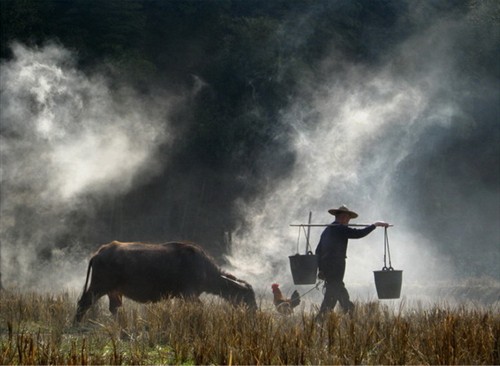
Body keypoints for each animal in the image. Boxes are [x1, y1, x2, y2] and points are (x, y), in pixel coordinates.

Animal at [76, 242, 256, 322]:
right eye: (248, 296)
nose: (254, 311)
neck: (204, 268)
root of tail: (99, 253)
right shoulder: (189, 294)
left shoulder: (184, 296)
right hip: (98, 287)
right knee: (83, 302)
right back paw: (76, 323)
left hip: (113, 291)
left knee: (114, 308)